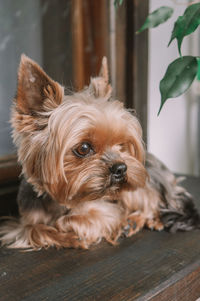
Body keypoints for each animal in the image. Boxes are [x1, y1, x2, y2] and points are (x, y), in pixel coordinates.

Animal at [0, 55, 199, 250]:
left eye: (121, 144)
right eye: (84, 148)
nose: (121, 168)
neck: (60, 201)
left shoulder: (105, 211)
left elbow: (70, 220)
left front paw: (76, 234)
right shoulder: (24, 223)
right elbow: (33, 229)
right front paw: (67, 238)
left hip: (138, 182)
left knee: (151, 201)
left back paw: (139, 221)